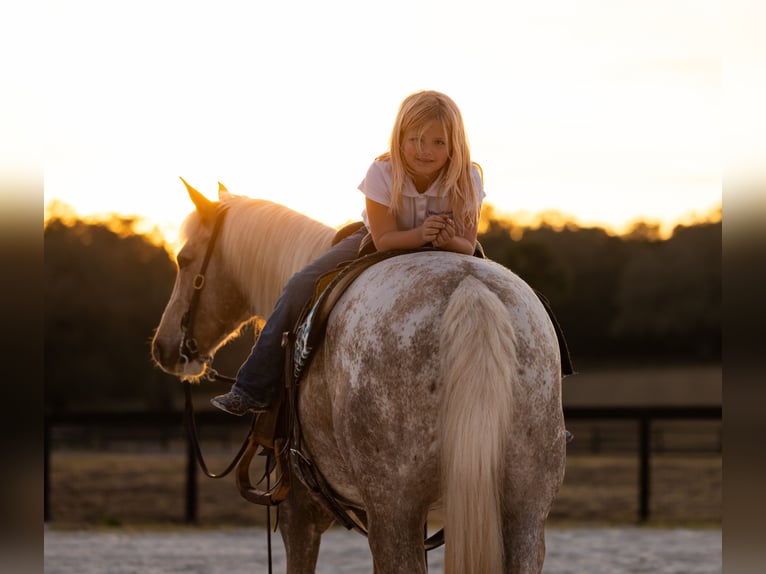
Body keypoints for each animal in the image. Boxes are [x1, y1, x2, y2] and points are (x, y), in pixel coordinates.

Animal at [151, 179, 567, 574]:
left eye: (183, 259)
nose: (164, 348)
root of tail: (471, 290)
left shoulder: (299, 511)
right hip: (525, 516)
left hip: (393, 513)